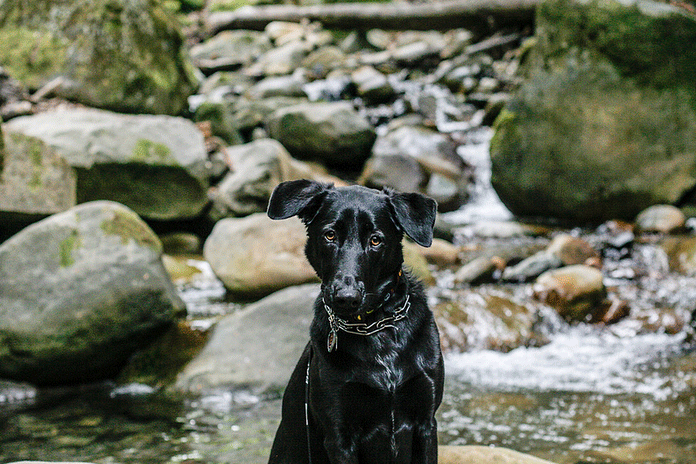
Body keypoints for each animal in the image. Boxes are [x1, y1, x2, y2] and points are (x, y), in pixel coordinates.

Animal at [266, 179, 446, 462]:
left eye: (375, 240)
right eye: (330, 235)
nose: (346, 297)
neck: (374, 328)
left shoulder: (426, 424)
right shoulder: (339, 435)